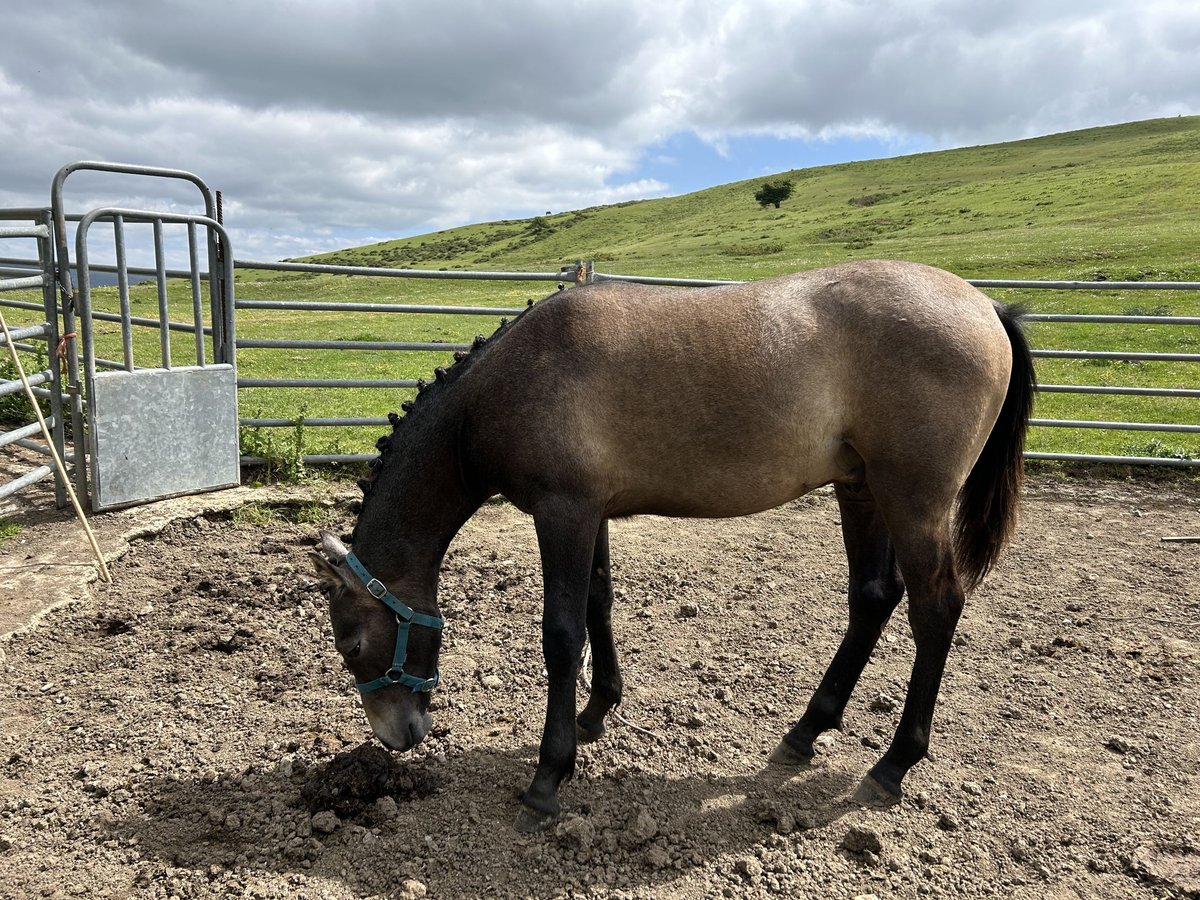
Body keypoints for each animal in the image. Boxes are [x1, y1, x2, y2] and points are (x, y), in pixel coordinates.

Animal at [314, 256, 1036, 835]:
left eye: (350, 644)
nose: (397, 737)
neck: (509, 383)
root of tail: (987, 308)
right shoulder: (591, 513)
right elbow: (599, 605)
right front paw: (596, 711)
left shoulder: (563, 512)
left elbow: (561, 634)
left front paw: (549, 777)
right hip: (861, 488)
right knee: (873, 597)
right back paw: (807, 729)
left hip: (914, 499)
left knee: (935, 607)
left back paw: (894, 763)